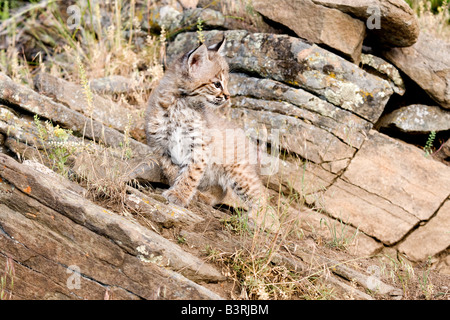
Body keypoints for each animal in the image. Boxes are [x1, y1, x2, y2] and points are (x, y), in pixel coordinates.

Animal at [144, 38, 278, 230]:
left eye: (226, 82)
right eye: (217, 84)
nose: (228, 96)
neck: (179, 103)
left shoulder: (198, 145)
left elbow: (190, 173)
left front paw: (179, 195)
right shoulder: (161, 145)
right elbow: (173, 171)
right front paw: (179, 191)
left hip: (238, 171)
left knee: (261, 194)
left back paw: (260, 220)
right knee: (222, 190)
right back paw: (203, 197)